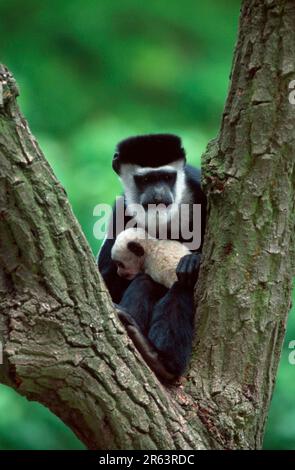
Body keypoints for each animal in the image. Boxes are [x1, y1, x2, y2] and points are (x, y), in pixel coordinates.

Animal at [98, 133, 207, 382]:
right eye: (146, 180)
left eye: (167, 177)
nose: (158, 194)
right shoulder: (121, 211)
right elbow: (105, 279)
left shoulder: (199, 188)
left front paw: (192, 261)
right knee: (144, 283)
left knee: (181, 288)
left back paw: (164, 362)